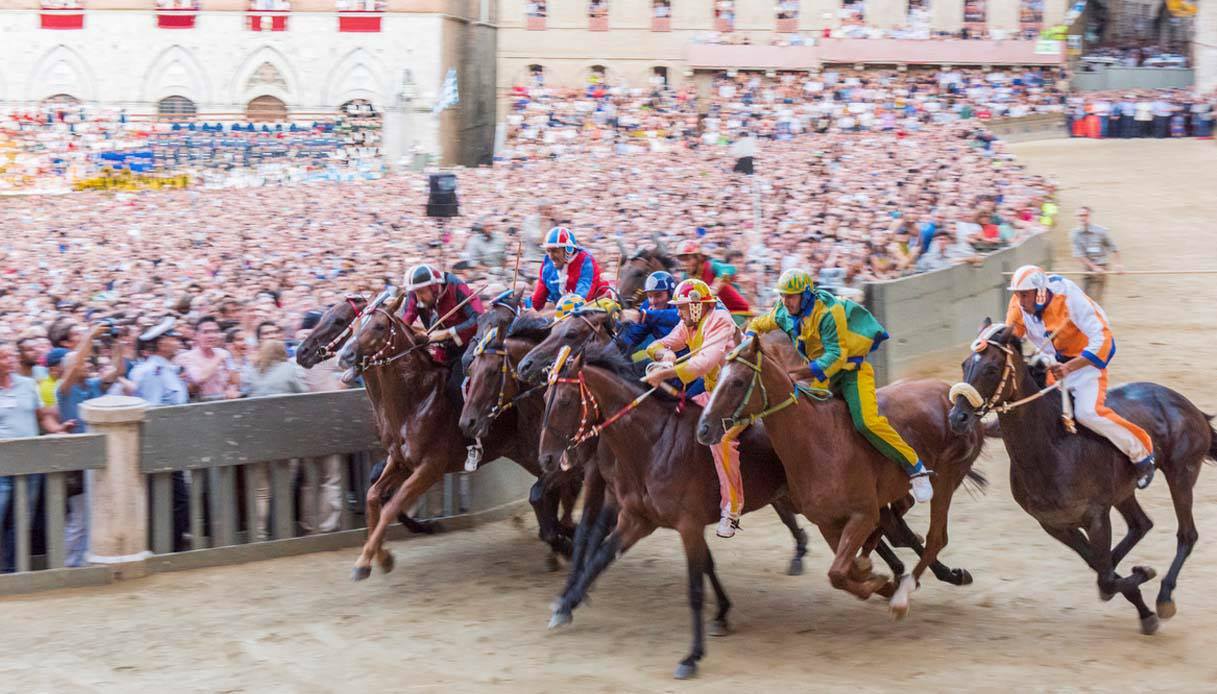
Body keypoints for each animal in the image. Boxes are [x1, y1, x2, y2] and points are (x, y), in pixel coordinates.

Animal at [537, 343, 803, 676]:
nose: (545, 458)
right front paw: (565, 605)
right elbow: (600, 557)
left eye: (565, 400)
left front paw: (692, 656)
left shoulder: (688, 525)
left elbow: (696, 588)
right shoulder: (636, 518)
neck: (653, 444)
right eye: (545, 397)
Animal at [696, 331, 988, 613]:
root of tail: (953, 395)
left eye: (738, 382)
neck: (818, 443)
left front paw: (882, 581)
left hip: (948, 478)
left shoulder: (862, 514)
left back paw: (907, 594)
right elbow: (844, 571)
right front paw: (876, 578)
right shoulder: (827, 522)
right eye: (718, 376)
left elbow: (839, 572)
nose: (704, 428)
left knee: (936, 537)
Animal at [949, 318, 1217, 633]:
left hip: (1181, 474)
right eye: (965, 364)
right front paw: (1141, 605)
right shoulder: (1054, 524)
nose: (957, 417)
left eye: (991, 368)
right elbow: (1102, 572)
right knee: (1140, 525)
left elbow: (1106, 577)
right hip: (1124, 491)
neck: (1051, 449)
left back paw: (1164, 597)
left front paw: (1144, 577)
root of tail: (1191, 408)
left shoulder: (1096, 516)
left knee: (1186, 534)